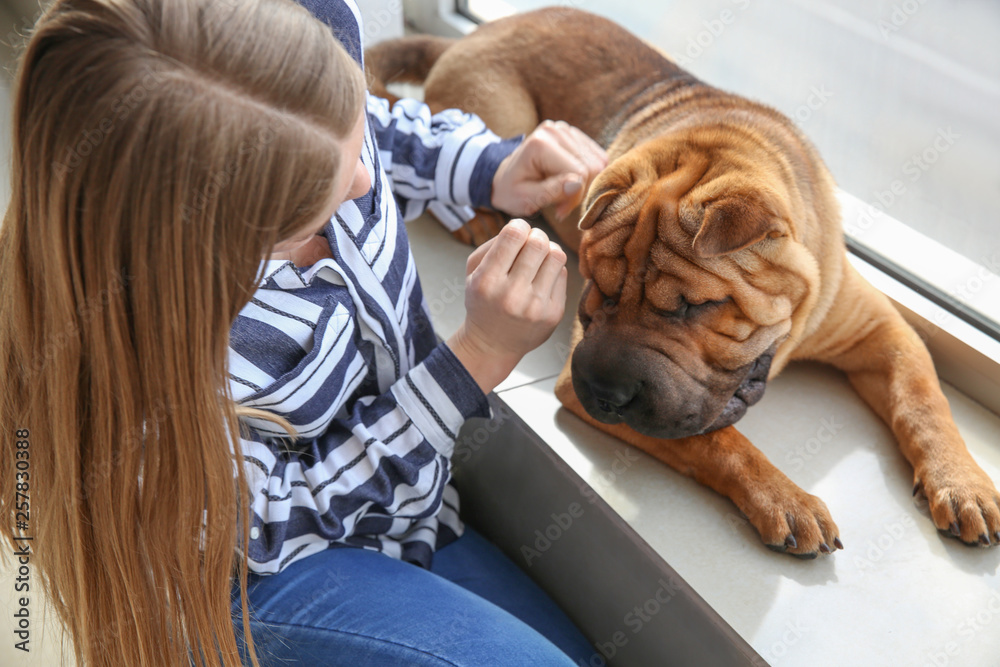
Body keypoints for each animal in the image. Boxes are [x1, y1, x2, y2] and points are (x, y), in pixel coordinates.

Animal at [368, 7, 1000, 560]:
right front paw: (785, 499)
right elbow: (715, 439)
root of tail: (476, 33)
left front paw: (962, 483)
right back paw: (479, 219)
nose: (603, 392)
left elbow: (923, 400)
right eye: (597, 290)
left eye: (697, 307)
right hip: (502, 110)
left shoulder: (881, 330)